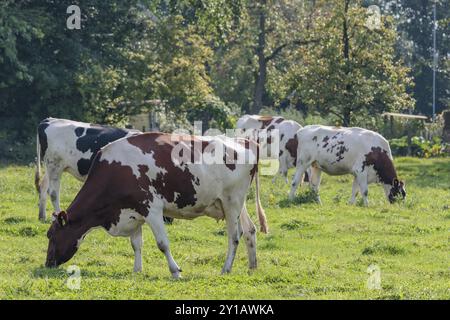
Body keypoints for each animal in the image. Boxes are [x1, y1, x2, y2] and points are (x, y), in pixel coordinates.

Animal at [45, 132, 268, 278]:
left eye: (51, 236)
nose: (48, 263)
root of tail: (246, 141)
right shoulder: (133, 211)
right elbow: (136, 244)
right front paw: (137, 270)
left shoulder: (151, 209)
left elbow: (162, 244)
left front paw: (175, 271)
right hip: (233, 203)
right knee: (250, 230)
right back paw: (252, 266)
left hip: (233, 202)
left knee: (234, 236)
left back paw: (226, 269)